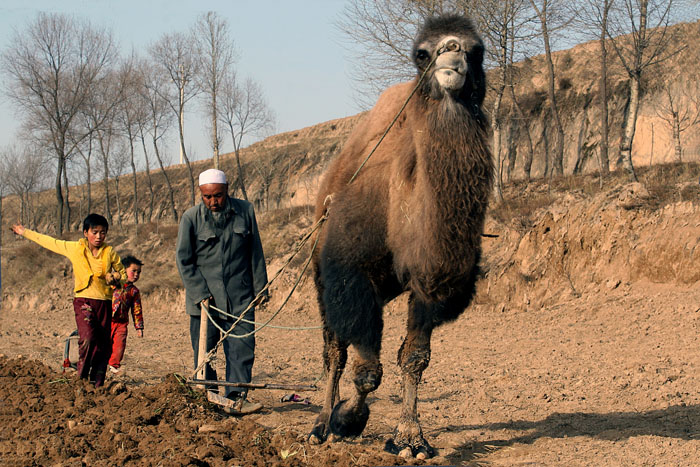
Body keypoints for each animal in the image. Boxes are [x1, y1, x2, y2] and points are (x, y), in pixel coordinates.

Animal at [308, 14, 494, 460]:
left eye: (477, 50)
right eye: (422, 54)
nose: (452, 53)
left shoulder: (430, 285)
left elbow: (415, 358)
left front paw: (411, 438)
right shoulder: (350, 276)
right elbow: (366, 370)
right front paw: (347, 419)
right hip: (321, 276)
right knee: (334, 352)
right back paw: (321, 424)